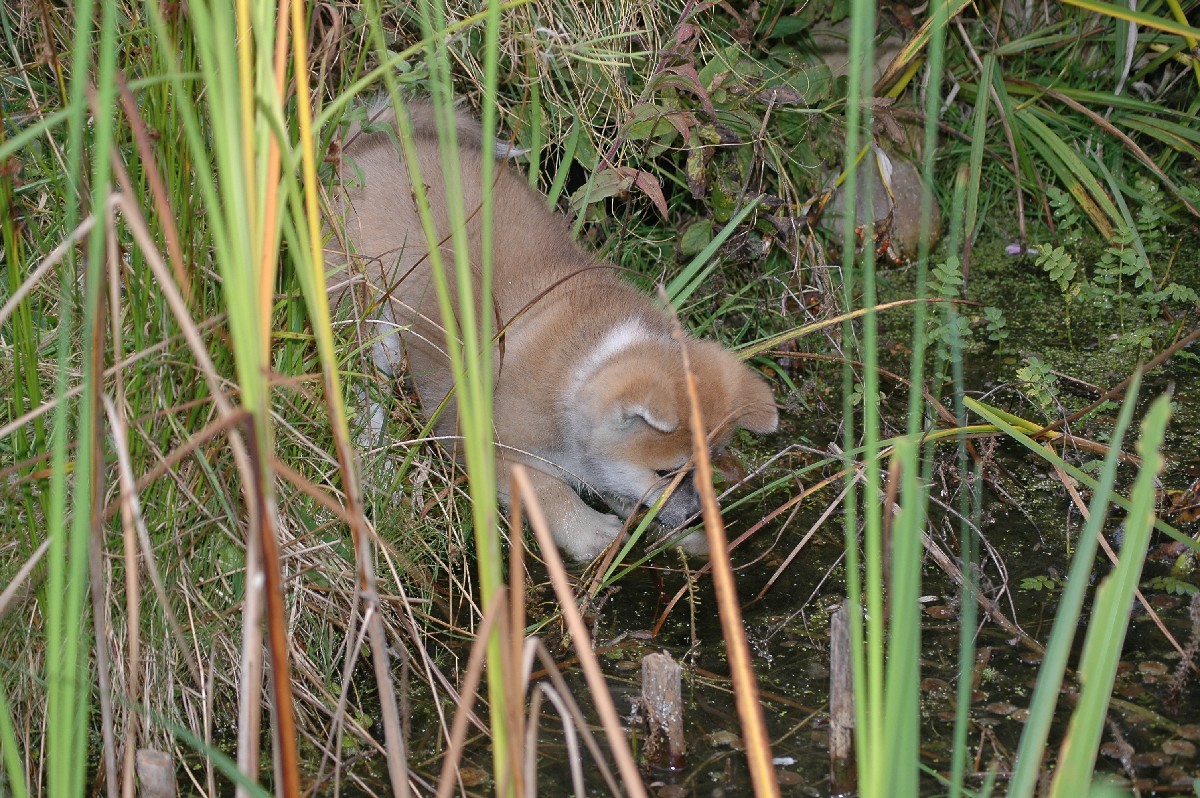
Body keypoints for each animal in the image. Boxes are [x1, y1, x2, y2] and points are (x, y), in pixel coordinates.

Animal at [327, 102, 778, 560]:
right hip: (368, 320)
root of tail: (364, 147)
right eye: (664, 472)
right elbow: (548, 489)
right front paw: (588, 530)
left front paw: (691, 541)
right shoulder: (481, 438)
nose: (693, 516)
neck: (583, 368)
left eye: (708, 467)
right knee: (363, 395)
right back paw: (379, 462)